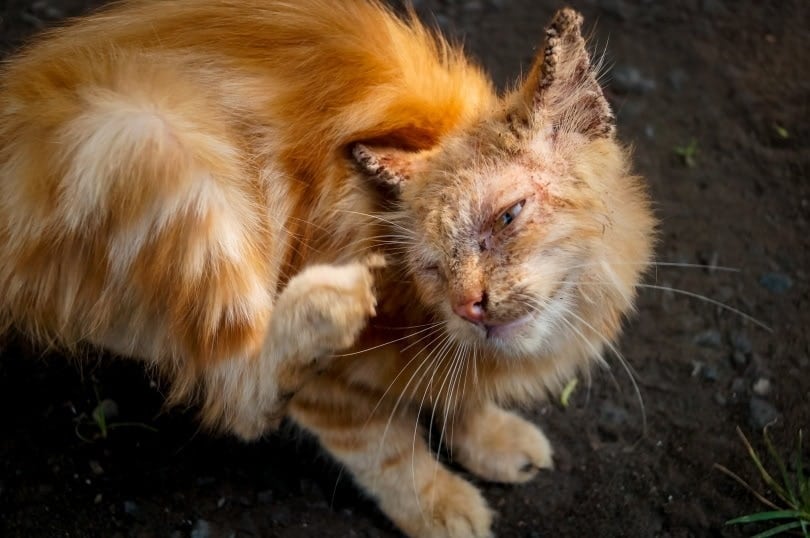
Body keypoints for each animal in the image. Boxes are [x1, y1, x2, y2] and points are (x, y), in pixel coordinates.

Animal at [0, 2, 652, 532]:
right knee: (240, 392)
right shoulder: (336, 392)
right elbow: (388, 448)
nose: (470, 305)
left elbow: (458, 392)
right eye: (432, 267)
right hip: (143, 136)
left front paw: (489, 436)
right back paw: (325, 303)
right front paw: (439, 504)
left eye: (509, 215)